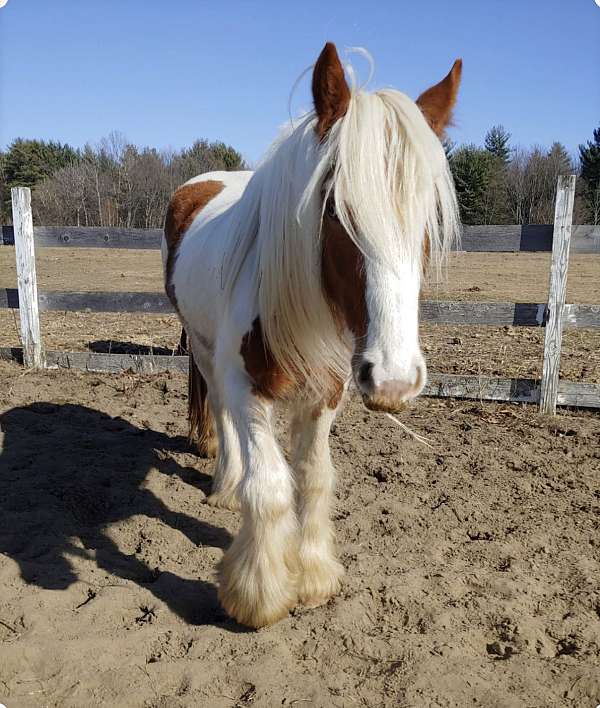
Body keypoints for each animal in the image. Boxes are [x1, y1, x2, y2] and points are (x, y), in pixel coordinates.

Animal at [162, 41, 462, 628]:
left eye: (427, 220)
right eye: (335, 210)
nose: (394, 380)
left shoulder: (326, 390)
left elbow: (315, 477)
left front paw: (315, 575)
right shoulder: (247, 388)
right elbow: (271, 485)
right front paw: (258, 594)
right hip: (206, 353)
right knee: (223, 418)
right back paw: (226, 486)